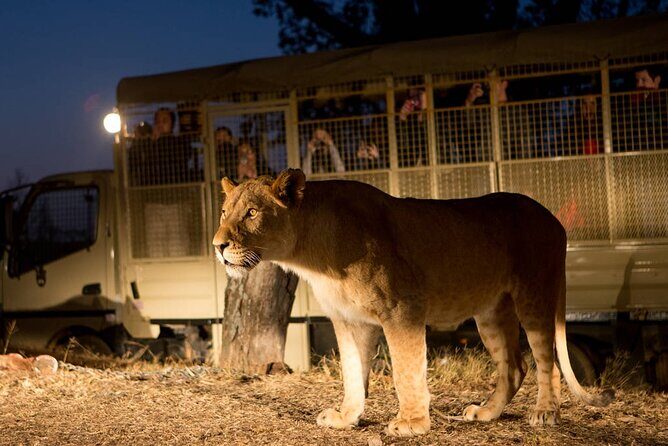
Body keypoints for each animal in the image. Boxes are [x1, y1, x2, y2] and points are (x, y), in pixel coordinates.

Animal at [212, 168, 613, 437]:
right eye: (224, 212)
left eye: (252, 213)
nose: (218, 245)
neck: (311, 254)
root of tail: (554, 219)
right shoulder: (348, 319)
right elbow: (352, 372)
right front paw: (347, 417)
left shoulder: (402, 309)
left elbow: (407, 370)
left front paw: (412, 424)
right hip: (490, 312)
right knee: (514, 366)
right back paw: (486, 413)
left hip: (534, 294)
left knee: (547, 360)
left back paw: (546, 413)